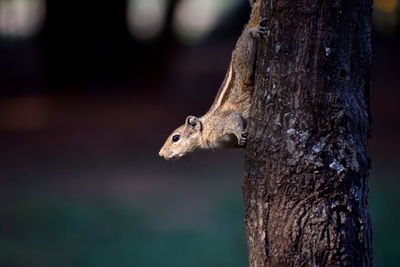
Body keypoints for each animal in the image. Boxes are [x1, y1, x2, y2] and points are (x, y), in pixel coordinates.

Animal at [159, 0, 266, 159]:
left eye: (175, 138)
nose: (160, 153)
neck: (204, 130)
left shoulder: (222, 122)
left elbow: (234, 119)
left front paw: (240, 134)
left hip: (242, 58)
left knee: (247, 39)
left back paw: (254, 30)